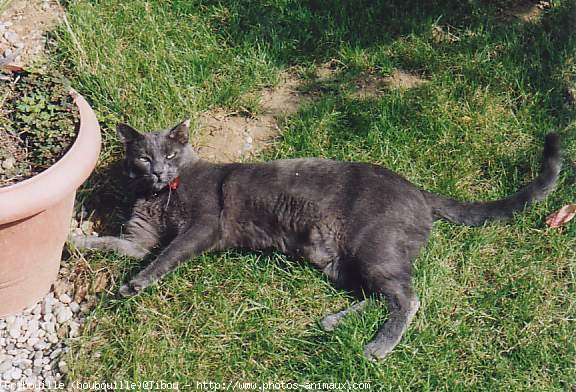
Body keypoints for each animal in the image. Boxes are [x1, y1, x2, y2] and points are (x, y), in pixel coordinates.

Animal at [70, 120, 560, 362]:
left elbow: (165, 255)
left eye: (171, 154)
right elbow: (117, 245)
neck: (162, 196)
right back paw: (333, 322)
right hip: (341, 261)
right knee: (380, 295)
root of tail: (419, 191)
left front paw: (138, 283)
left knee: (408, 297)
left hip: (373, 247)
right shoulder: (138, 237)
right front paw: (74, 240)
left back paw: (376, 348)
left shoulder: (203, 227)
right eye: (142, 157)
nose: (156, 171)